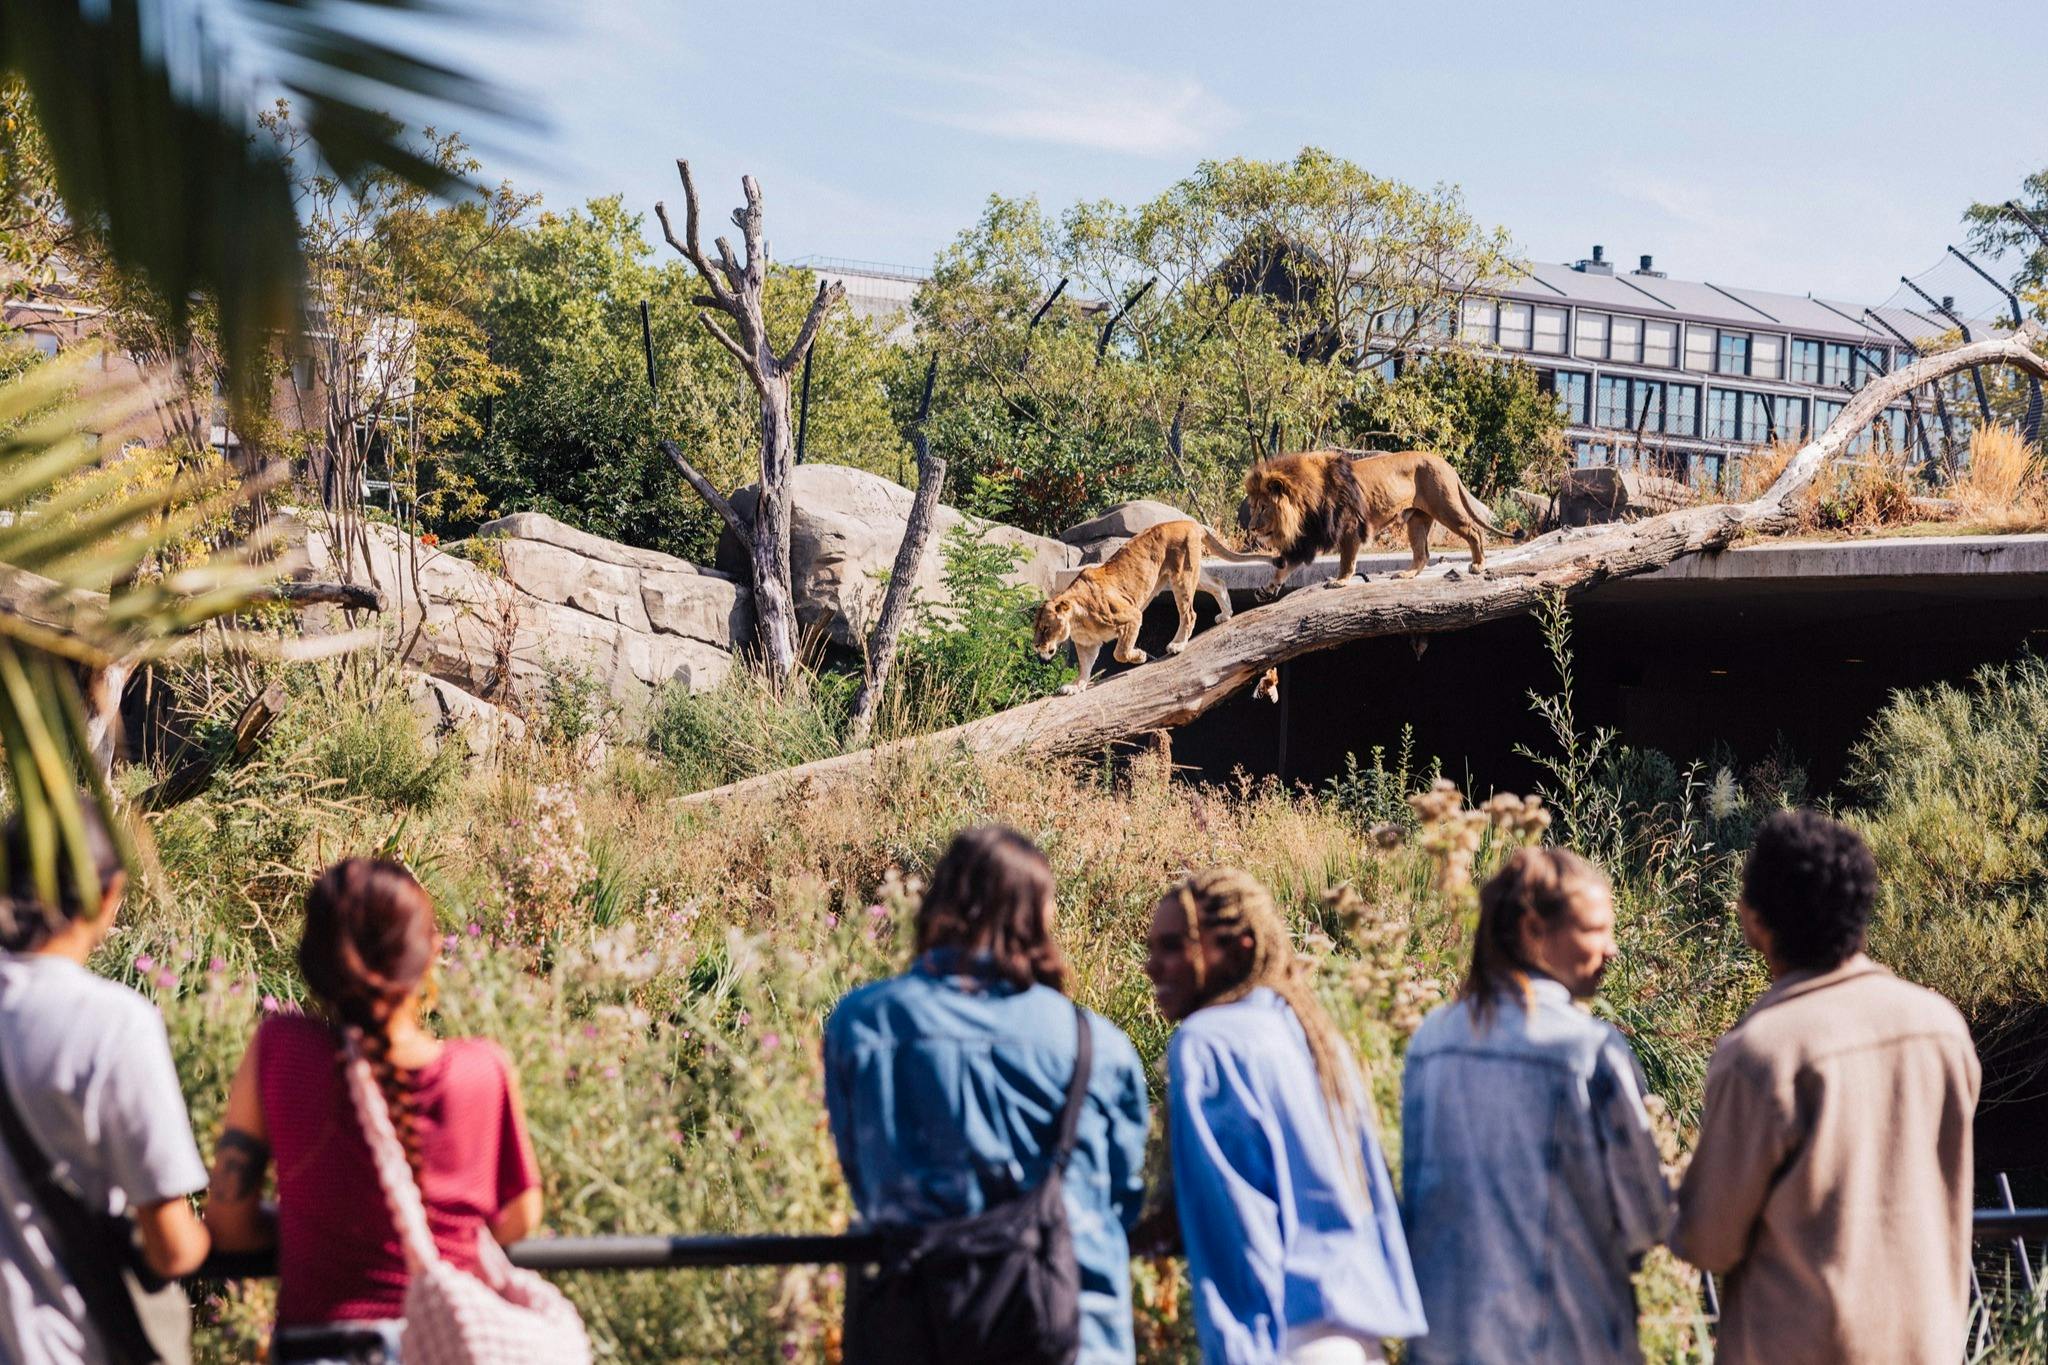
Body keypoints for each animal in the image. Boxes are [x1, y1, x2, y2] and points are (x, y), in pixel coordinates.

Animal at [1034, 520, 1264, 694]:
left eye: (1045, 628)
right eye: (1036, 629)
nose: (1036, 646)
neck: (1077, 622)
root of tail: (1191, 522)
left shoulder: (1132, 616)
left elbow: (1120, 652)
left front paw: (1140, 656)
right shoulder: (1087, 644)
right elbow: (1085, 667)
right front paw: (1076, 686)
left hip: (1181, 576)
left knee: (1189, 614)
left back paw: (1177, 645)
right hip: (1194, 574)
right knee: (1219, 583)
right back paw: (1226, 615)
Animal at [1242, 449, 1505, 594]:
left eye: (1264, 507)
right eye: (1252, 508)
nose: (1252, 528)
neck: (1307, 503)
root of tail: (1445, 462)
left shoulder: (1348, 527)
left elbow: (1346, 560)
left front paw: (1340, 582)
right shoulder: (1310, 537)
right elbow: (1285, 564)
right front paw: (1268, 589)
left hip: (1444, 506)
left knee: (1474, 531)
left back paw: (1478, 564)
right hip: (1417, 520)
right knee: (1422, 554)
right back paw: (1406, 575)